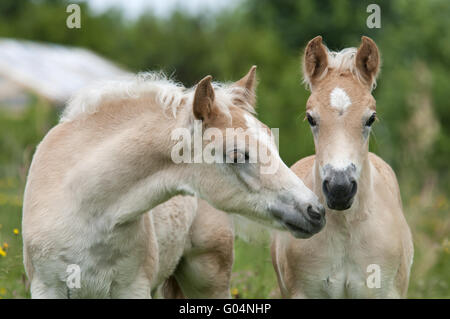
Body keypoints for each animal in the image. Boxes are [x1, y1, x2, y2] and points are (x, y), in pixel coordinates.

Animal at [22, 66, 324, 298]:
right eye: (238, 155)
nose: (316, 211)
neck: (86, 210)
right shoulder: (47, 288)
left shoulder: (133, 288)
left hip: (208, 278)